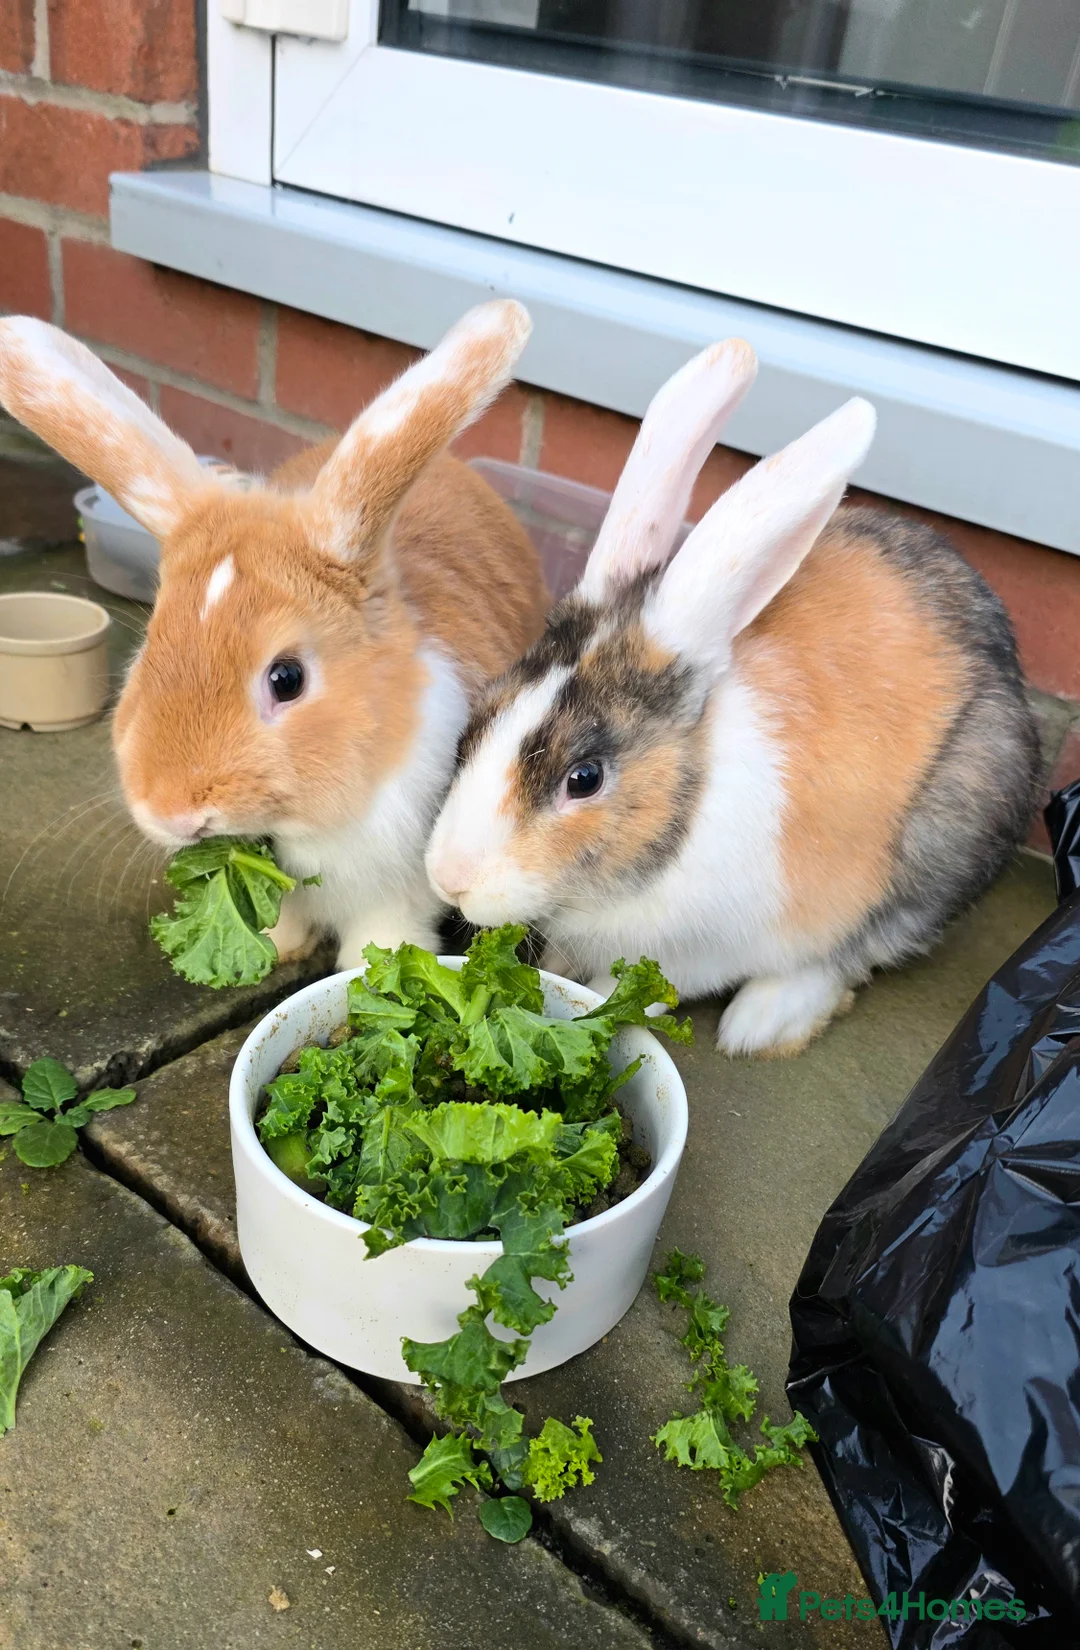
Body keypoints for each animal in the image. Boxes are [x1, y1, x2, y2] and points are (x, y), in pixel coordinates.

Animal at [0, 301, 549, 965]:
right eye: (149, 649)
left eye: (287, 679)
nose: (174, 812)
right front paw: (279, 947)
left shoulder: (399, 885)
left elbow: (384, 935)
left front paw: (372, 964)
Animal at [426, 337, 1042, 1056]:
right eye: (482, 718)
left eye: (584, 778)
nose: (449, 877)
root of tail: (1010, 673)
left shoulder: (694, 950)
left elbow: (635, 989)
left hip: (942, 838)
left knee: (858, 949)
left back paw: (764, 1022)